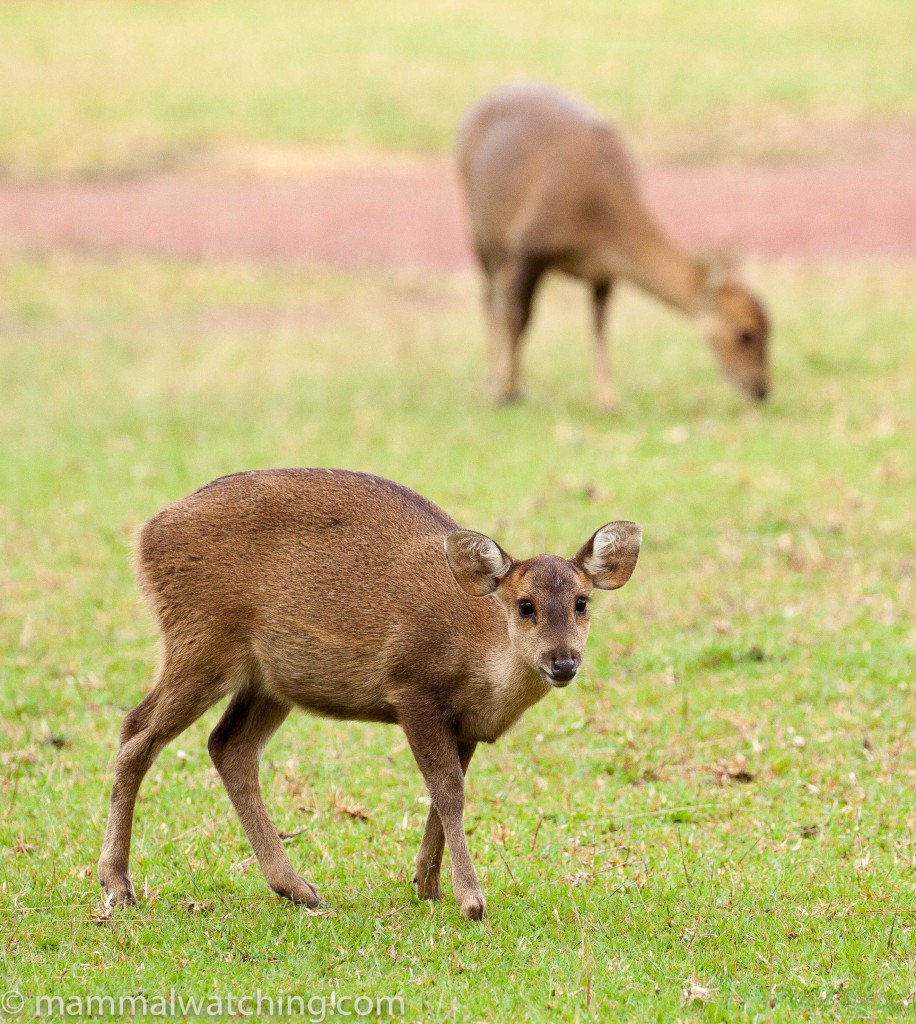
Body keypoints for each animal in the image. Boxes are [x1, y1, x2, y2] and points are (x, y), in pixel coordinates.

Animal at [98, 468, 642, 920]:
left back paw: (298, 888)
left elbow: (443, 795)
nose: (563, 662)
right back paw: (118, 886)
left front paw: (427, 884)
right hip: (200, 638)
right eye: (525, 605)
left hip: (269, 678)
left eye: (582, 602)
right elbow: (449, 791)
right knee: (137, 732)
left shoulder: (463, 722)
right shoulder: (413, 689)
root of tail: (144, 538)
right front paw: (471, 900)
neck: (480, 662)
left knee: (228, 746)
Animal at [457, 82, 771, 410]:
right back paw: (495, 380)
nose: (762, 390)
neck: (600, 219)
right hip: (481, 226)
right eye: (745, 333)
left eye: (769, 328)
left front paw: (607, 398)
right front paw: (506, 391)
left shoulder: (604, 271)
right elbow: (521, 319)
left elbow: (600, 327)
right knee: (491, 298)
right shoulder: (528, 245)